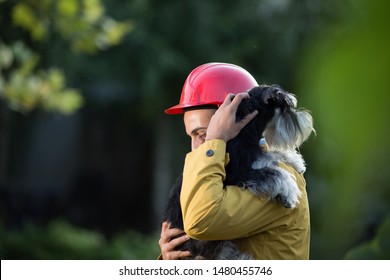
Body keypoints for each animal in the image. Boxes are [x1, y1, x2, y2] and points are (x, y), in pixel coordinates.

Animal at [161, 84, 314, 260]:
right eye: (286, 106)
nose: (305, 119)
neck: (244, 128)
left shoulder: (253, 152)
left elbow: (270, 154)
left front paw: (295, 161)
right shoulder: (239, 171)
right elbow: (275, 173)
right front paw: (289, 193)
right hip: (208, 241)